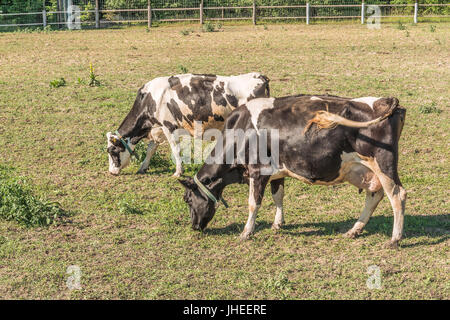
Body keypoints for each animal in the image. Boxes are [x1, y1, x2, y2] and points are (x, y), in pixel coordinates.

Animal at [106, 72, 268, 176]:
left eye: (112, 151)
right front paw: (143, 167)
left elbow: (175, 150)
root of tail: (259, 76)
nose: (111, 172)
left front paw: (178, 172)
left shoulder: (169, 127)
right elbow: (151, 149)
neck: (149, 99)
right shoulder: (158, 129)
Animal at [179, 94, 408, 249]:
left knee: (397, 195)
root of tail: (384, 101)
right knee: (374, 195)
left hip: (383, 164)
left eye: (188, 199)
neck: (239, 130)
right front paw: (277, 224)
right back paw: (355, 230)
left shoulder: (257, 171)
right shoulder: (276, 172)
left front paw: (246, 232)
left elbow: (254, 203)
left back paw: (394, 239)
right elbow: (278, 196)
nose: (194, 226)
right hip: (364, 171)